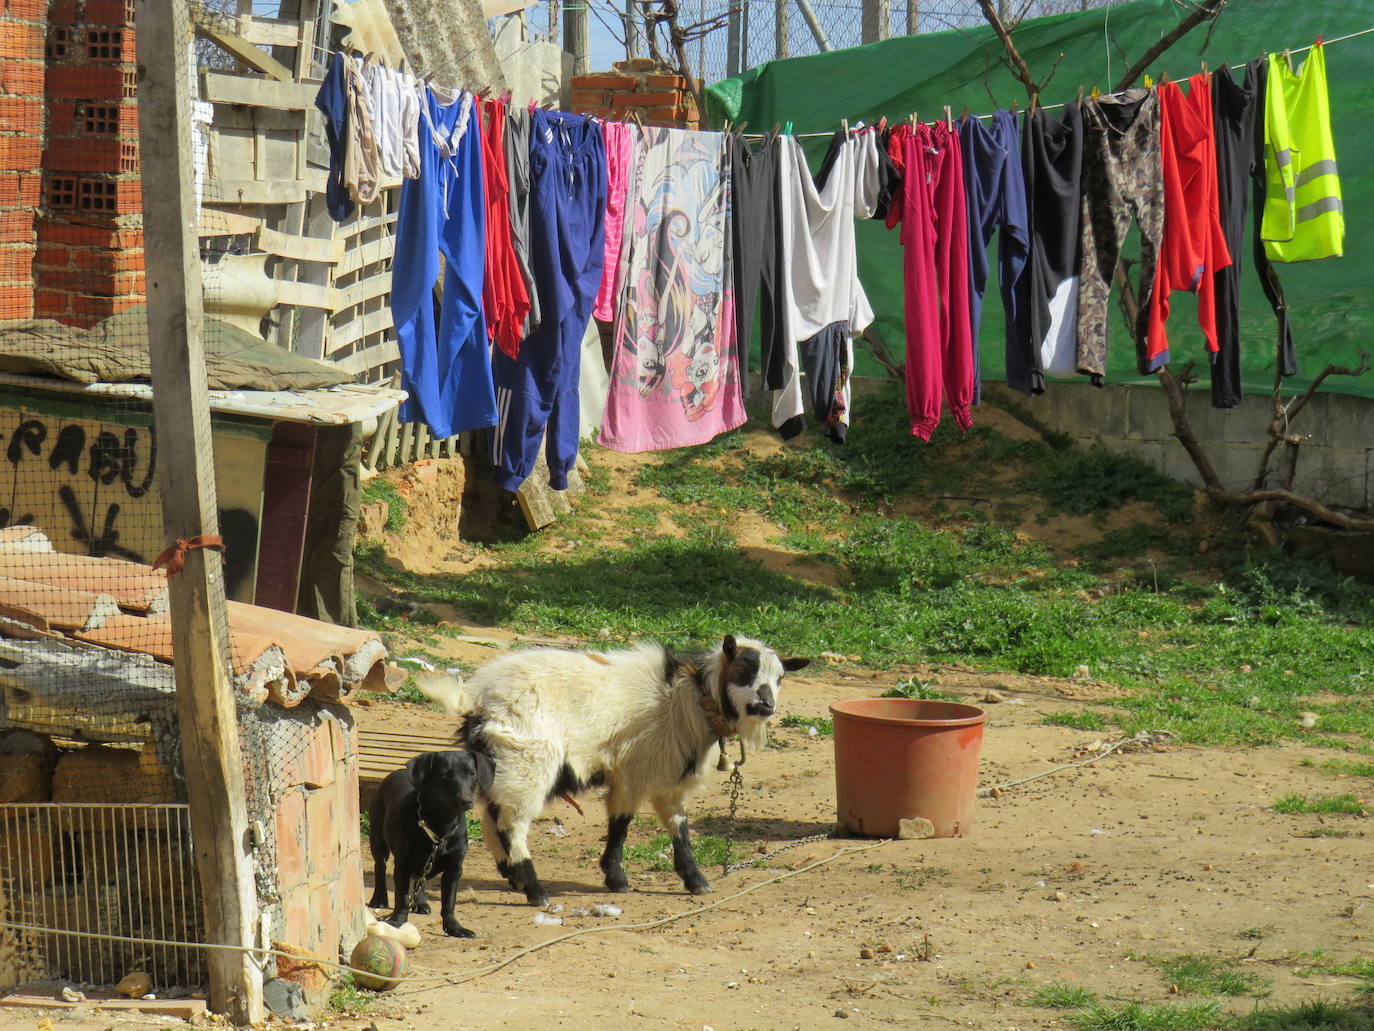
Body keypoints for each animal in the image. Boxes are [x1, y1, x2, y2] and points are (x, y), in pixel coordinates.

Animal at [368, 753, 491, 940]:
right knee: (380, 867)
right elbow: (402, 898)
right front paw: (397, 921)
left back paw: (420, 902)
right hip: (378, 838)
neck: (441, 827)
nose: (465, 801)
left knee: (420, 878)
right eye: (445, 774)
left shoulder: (454, 869)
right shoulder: (402, 865)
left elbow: (449, 902)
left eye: (471, 773)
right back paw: (379, 898)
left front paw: (454, 927)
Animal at [417, 635, 802, 907]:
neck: (687, 699)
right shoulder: (638, 770)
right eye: (744, 671)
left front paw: (694, 880)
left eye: (781, 678)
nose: (766, 705)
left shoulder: (663, 780)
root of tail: (477, 701)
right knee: (511, 824)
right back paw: (535, 889)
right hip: (527, 761)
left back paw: (513, 875)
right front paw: (617, 876)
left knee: (491, 817)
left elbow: (677, 827)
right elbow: (622, 822)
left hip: (504, 765)